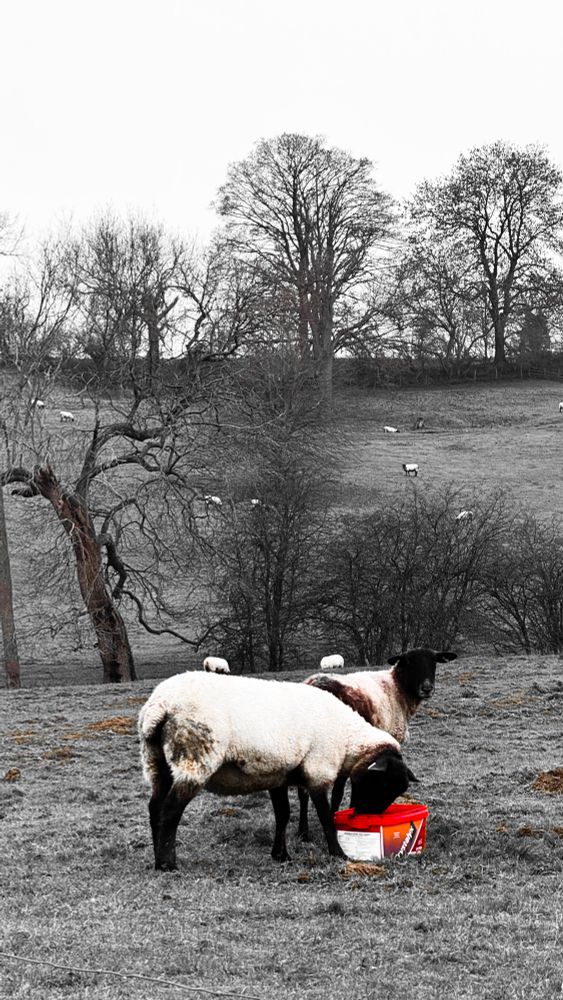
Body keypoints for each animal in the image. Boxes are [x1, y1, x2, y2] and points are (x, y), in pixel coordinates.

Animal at [138, 672, 417, 869]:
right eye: (383, 783)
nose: (370, 817)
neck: (348, 739)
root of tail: (159, 707)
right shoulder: (318, 771)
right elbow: (325, 817)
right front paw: (338, 853)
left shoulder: (278, 775)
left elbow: (283, 814)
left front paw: (280, 855)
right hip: (194, 758)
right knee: (170, 811)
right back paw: (167, 863)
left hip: (156, 763)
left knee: (154, 809)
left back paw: (157, 857)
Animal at [297, 646, 457, 841]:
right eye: (409, 662)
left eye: (434, 661)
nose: (427, 688)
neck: (397, 688)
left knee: (302, 792)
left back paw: (303, 832)